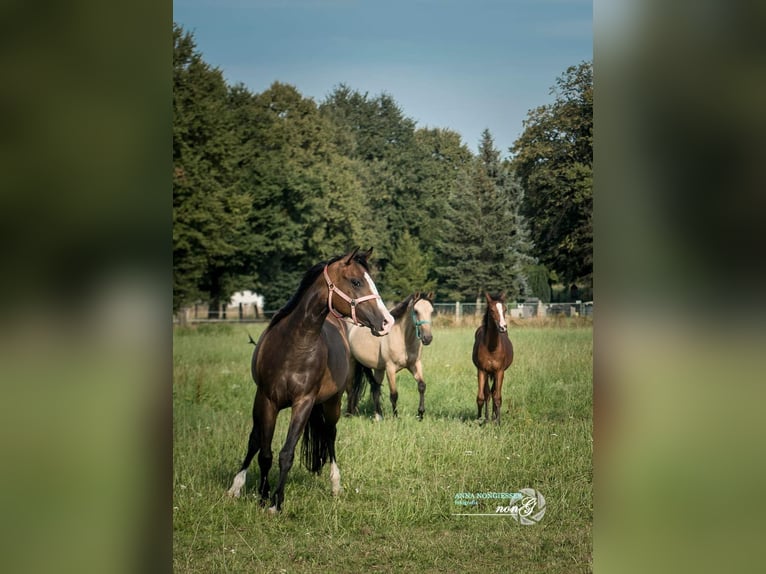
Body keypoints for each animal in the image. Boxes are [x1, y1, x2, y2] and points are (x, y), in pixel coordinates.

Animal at [226, 248, 396, 512]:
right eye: (356, 282)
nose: (387, 321)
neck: (294, 345)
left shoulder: (303, 403)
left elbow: (286, 453)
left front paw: (276, 503)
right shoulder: (267, 400)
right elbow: (264, 451)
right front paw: (263, 495)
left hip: (332, 403)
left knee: (330, 434)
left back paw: (335, 484)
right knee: (255, 440)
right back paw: (237, 486)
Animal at [474, 294, 516, 426]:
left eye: (505, 309)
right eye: (492, 310)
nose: (503, 327)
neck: (492, 348)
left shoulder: (499, 371)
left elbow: (497, 397)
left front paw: (498, 421)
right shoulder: (482, 370)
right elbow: (481, 397)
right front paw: (480, 420)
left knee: (493, 393)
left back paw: (493, 417)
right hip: (488, 373)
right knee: (488, 393)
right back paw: (488, 418)